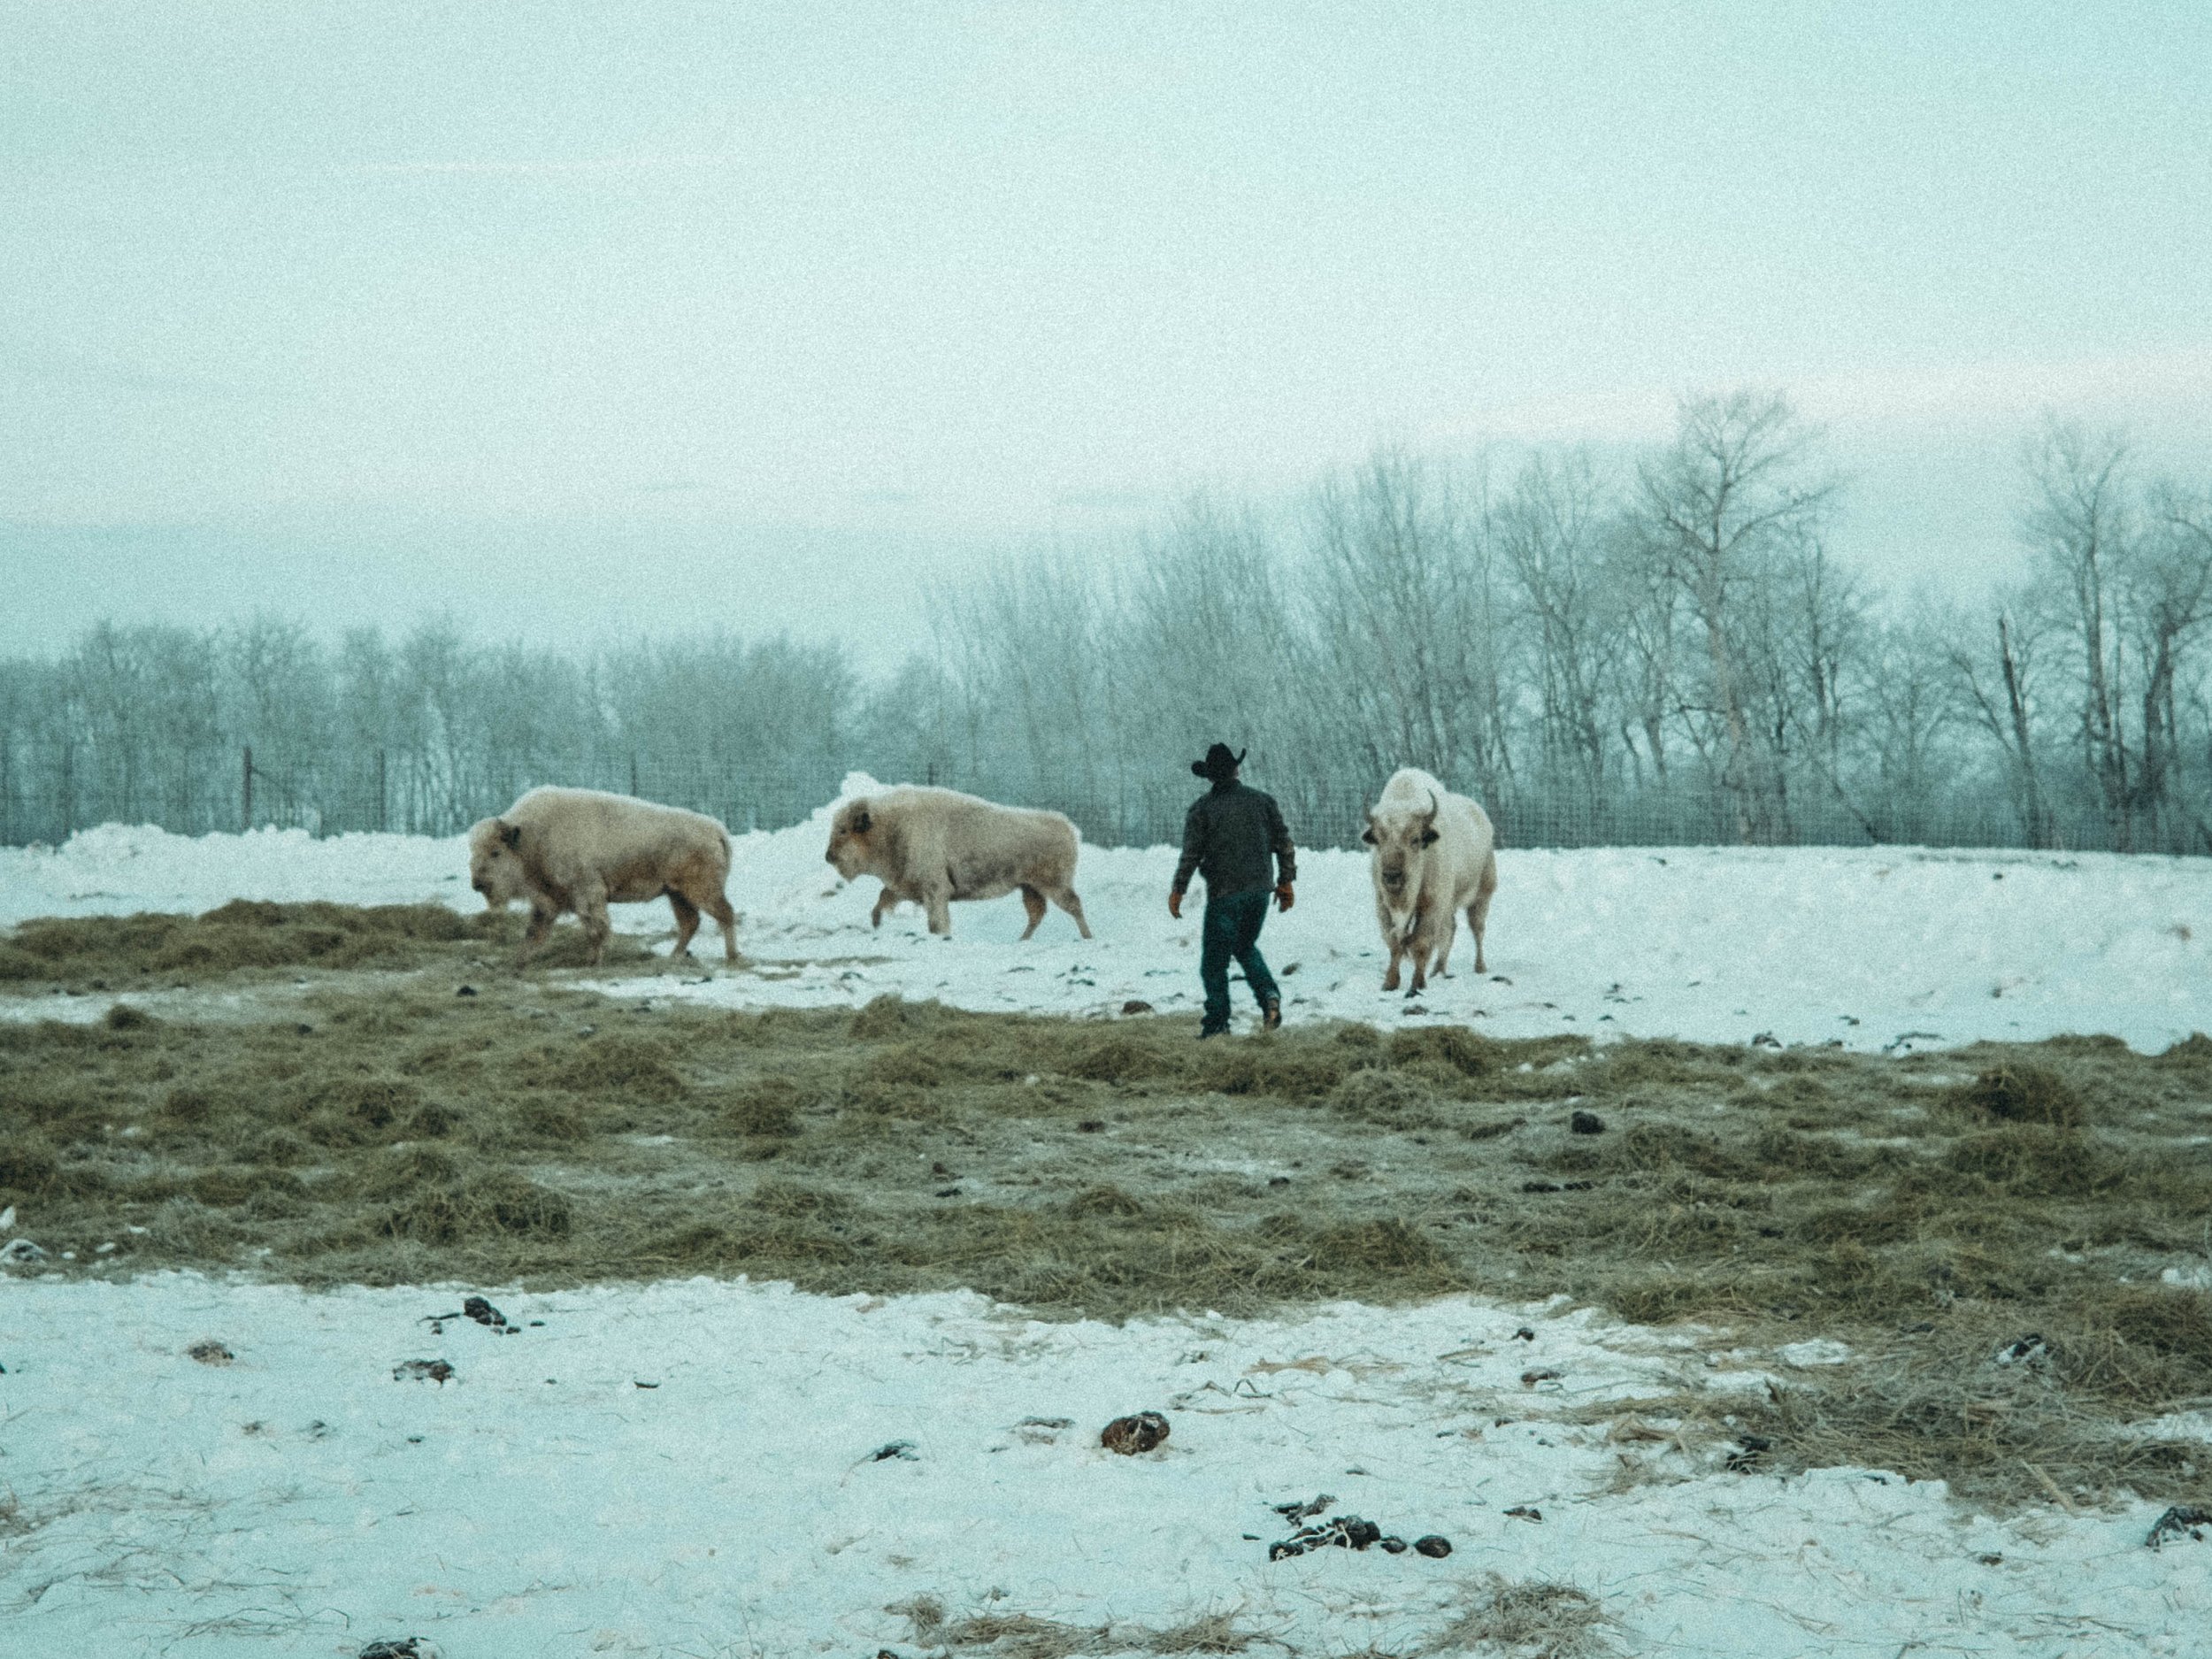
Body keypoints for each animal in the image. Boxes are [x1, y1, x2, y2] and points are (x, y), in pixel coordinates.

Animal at [466, 787, 743, 969]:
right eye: (473, 850)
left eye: (495, 852)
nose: (477, 883)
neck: (530, 838)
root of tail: (717, 830)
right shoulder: (548, 900)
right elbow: (534, 931)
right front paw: (519, 960)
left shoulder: (587, 894)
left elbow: (595, 928)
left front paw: (593, 960)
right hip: (677, 894)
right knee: (690, 923)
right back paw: (674, 956)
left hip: (701, 891)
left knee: (725, 915)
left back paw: (732, 956)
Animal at [827, 787, 1093, 942]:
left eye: (843, 830)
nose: (829, 856)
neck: (891, 826)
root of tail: (1066, 827)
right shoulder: (906, 886)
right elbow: (882, 899)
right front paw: (876, 922)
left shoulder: (935, 890)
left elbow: (936, 922)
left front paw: (942, 935)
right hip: (1030, 887)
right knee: (1037, 914)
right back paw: (1022, 940)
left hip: (1054, 885)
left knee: (1073, 906)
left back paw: (1087, 937)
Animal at [1363, 770, 1504, 995]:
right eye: (1378, 839)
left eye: (1415, 839)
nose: (1392, 875)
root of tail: (1481, 816)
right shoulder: (1383, 903)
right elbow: (1394, 940)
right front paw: (1389, 983)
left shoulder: (1432, 903)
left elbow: (1421, 942)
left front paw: (1417, 984)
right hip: (1449, 904)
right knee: (1450, 930)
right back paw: (1438, 970)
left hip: (1482, 895)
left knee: (1477, 929)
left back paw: (1479, 967)